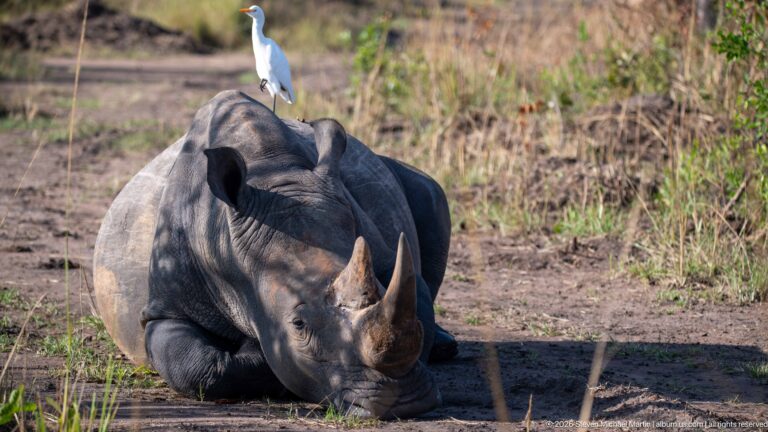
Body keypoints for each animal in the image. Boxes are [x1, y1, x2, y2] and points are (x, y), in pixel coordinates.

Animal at [92, 90, 457, 418]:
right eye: (297, 324)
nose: (406, 403)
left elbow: (416, 301)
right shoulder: (165, 305)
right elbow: (198, 368)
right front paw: (258, 348)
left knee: (430, 194)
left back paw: (445, 345)